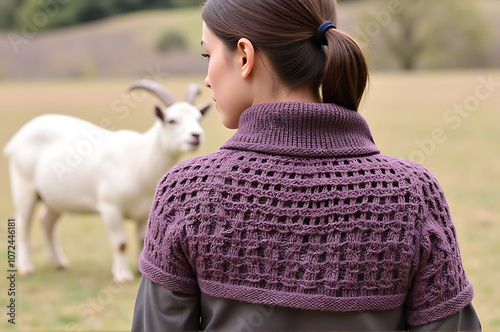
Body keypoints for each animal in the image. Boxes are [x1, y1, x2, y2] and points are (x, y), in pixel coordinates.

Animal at [2, 80, 209, 282]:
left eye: (198, 119)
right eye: (171, 120)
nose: (196, 136)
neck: (140, 160)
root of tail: (17, 139)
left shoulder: (143, 214)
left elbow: (141, 240)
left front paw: (140, 271)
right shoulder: (110, 207)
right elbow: (121, 243)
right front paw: (122, 275)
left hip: (54, 198)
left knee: (47, 222)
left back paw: (60, 263)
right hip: (24, 187)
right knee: (22, 224)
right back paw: (26, 267)